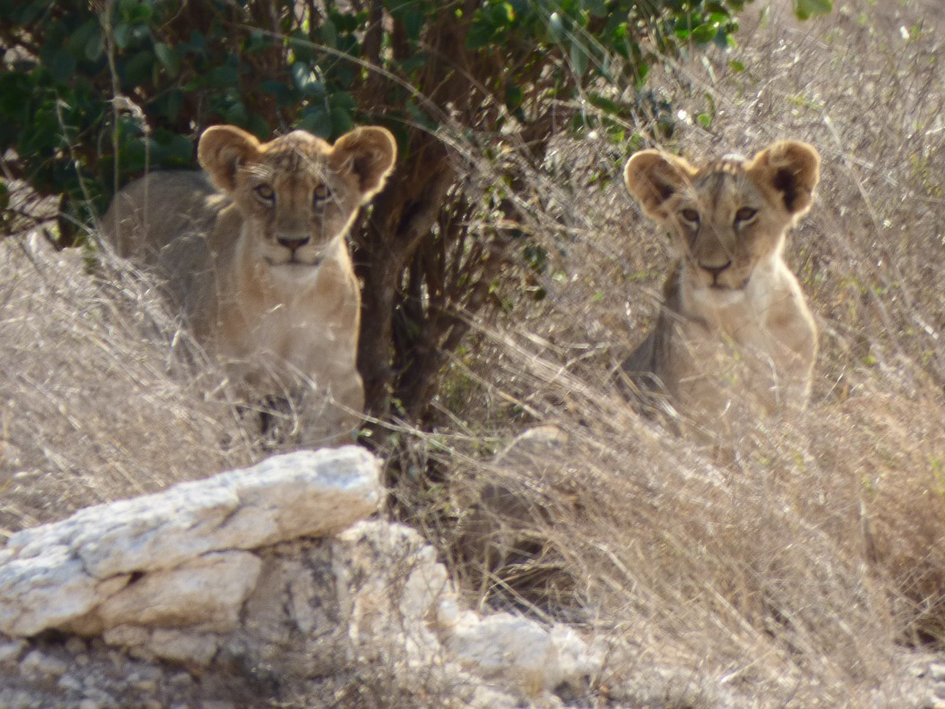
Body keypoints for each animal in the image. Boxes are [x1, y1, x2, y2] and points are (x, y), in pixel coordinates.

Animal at [102, 124, 397, 446]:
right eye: (265, 192)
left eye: (323, 192)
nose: (292, 241)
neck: (290, 299)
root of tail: (132, 186)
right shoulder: (216, 376)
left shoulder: (338, 383)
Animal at [619, 140, 820, 445]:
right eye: (691, 215)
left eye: (745, 214)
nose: (712, 267)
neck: (745, 316)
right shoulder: (696, 415)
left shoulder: (793, 396)